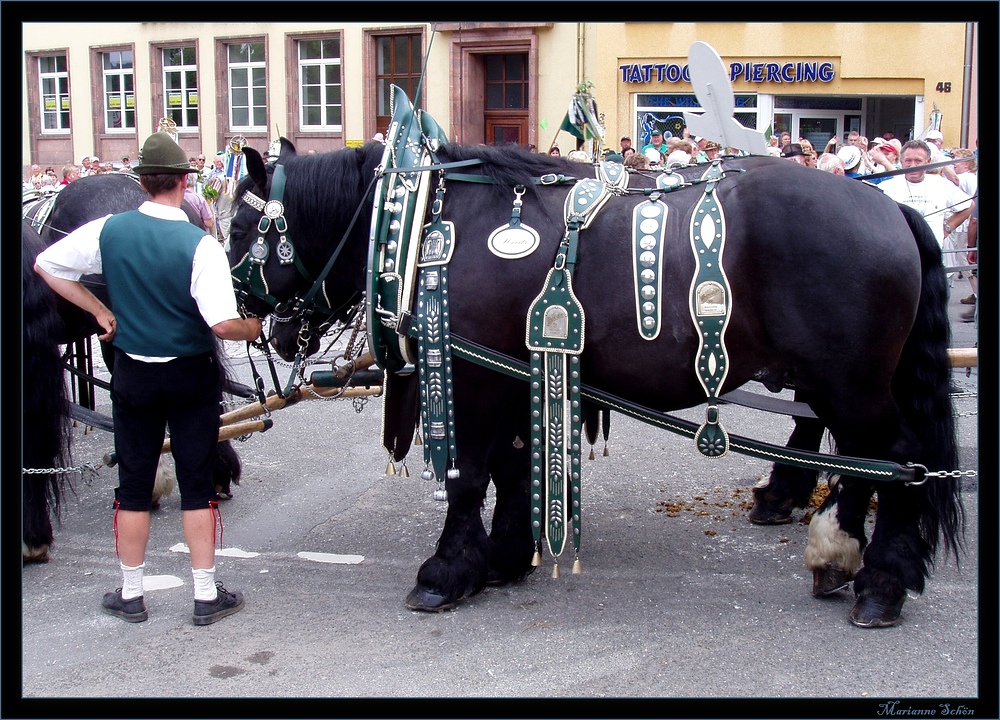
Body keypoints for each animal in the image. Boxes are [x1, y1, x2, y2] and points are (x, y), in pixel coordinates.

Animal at [227, 139, 960, 624]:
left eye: (237, 226)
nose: (255, 326)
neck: (435, 222)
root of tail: (889, 206)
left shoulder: (474, 376)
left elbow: (468, 477)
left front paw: (446, 572)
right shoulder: (517, 371)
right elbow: (512, 466)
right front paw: (505, 557)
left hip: (851, 385)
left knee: (894, 461)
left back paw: (879, 579)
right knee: (864, 460)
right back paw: (838, 551)